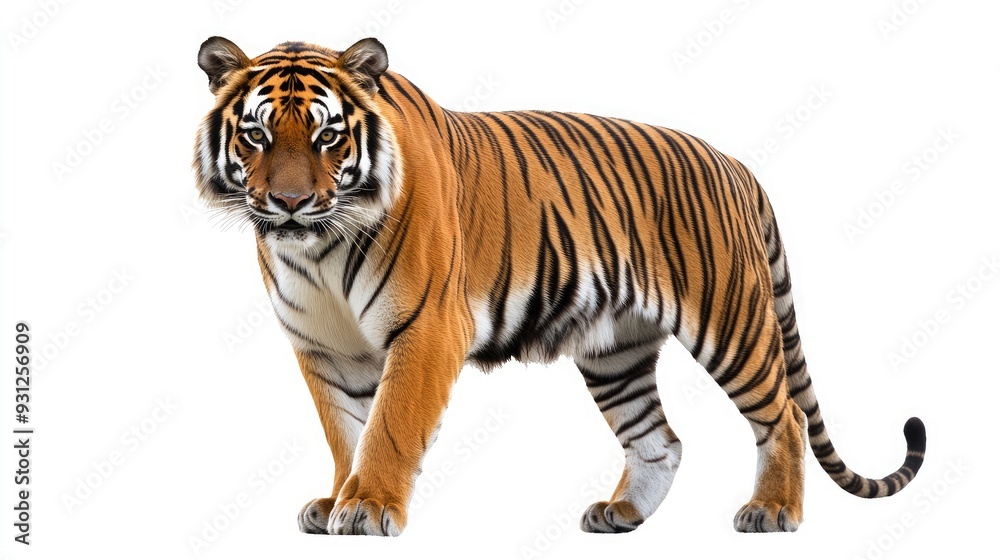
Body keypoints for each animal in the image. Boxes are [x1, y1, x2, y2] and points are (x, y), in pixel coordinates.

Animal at [193, 36, 926, 536]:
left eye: (327, 137)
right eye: (256, 135)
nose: (289, 202)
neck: (316, 247)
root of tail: (737, 166)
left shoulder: (426, 329)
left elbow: (390, 425)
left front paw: (368, 506)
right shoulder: (325, 348)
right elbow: (346, 429)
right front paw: (338, 497)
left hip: (731, 319)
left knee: (783, 413)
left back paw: (772, 509)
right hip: (615, 351)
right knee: (660, 439)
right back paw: (622, 512)